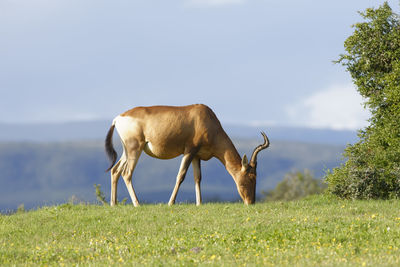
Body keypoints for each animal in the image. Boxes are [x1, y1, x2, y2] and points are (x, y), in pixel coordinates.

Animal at [104, 104, 270, 207]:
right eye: (251, 177)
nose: (250, 202)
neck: (204, 117)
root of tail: (118, 118)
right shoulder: (189, 151)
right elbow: (181, 176)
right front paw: (170, 203)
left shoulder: (196, 156)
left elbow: (198, 178)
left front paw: (199, 203)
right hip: (135, 149)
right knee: (126, 173)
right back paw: (137, 204)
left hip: (127, 151)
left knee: (115, 170)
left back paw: (114, 204)